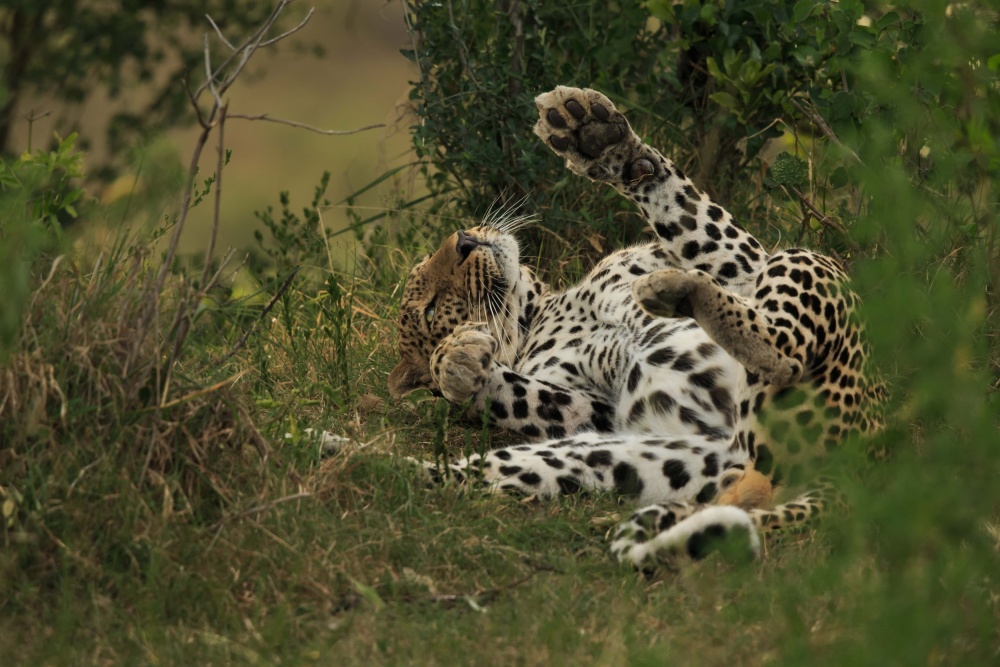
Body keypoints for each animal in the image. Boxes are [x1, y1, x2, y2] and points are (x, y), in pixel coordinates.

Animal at [386, 85, 888, 568]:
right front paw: (456, 362)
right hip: (624, 454)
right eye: (431, 308)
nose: (464, 240)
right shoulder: (593, 410)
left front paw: (591, 133)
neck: (543, 309)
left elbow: (687, 212)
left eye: (438, 253)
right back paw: (378, 464)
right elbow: (524, 392)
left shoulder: (745, 267)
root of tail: (862, 464)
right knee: (782, 356)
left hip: (805, 265)